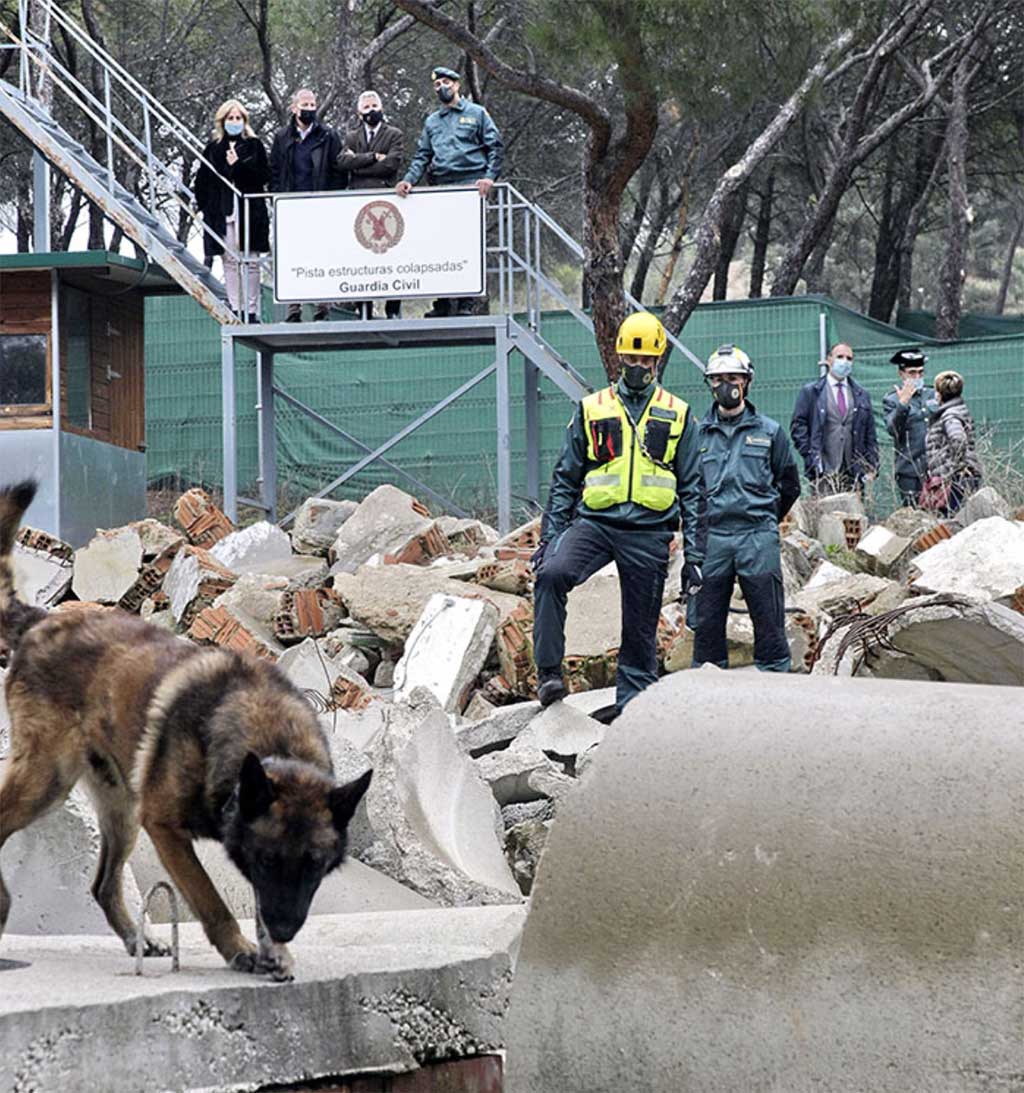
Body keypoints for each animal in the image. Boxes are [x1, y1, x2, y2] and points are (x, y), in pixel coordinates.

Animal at [0, 483, 373, 979]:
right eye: (268, 859)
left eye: (314, 865)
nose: (286, 930)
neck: (266, 739)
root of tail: (41, 620)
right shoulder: (165, 829)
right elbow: (209, 899)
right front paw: (240, 948)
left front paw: (272, 950)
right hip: (48, 782)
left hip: (120, 808)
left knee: (103, 885)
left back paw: (138, 939)